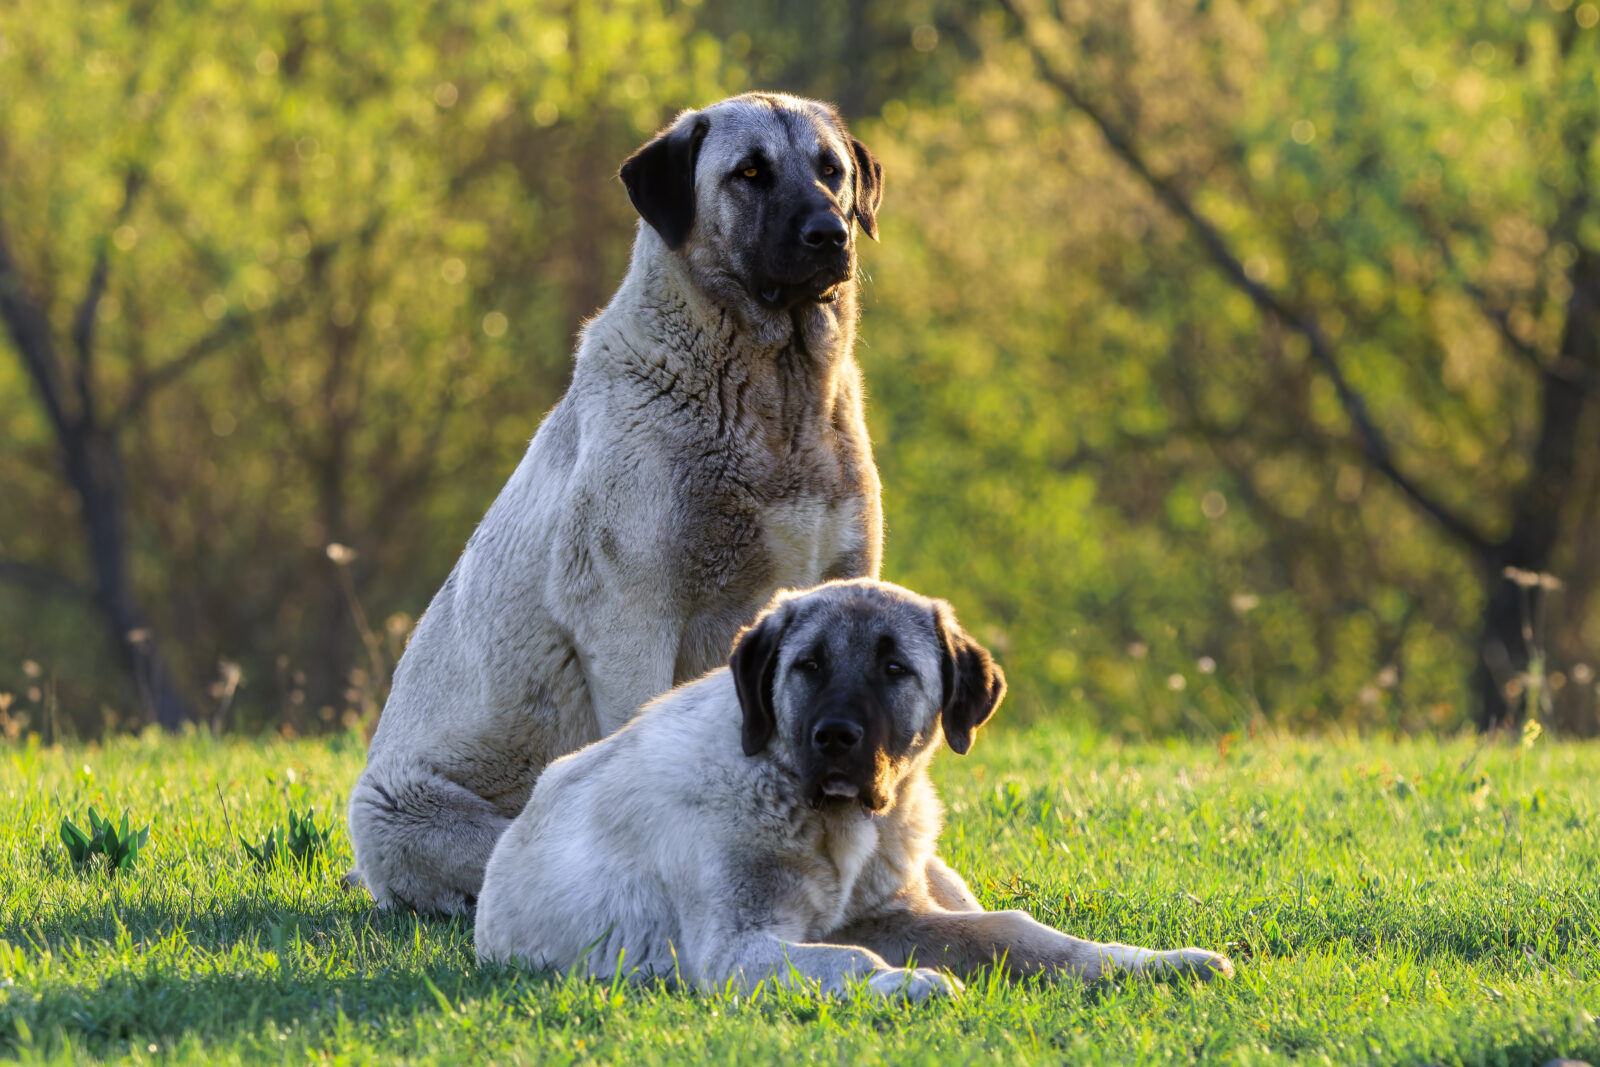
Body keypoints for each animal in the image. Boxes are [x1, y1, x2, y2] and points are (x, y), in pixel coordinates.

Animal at [473, 579, 1235, 998]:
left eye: (895, 668)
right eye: (808, 665)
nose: (835, 737)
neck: (826, 820)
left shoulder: (899, 914)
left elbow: (1018, 932)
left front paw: (1147, 962)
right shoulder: (738, 949)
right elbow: (847, 959)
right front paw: (902, 982)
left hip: (936, 871)